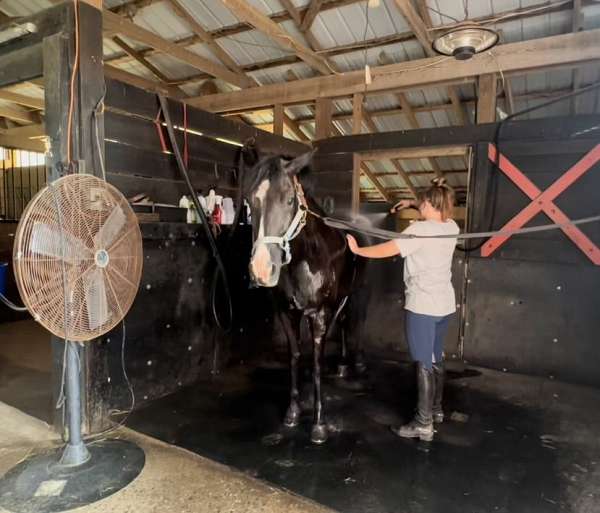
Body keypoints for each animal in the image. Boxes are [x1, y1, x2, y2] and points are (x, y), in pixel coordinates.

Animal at [244, 150, 366, 442]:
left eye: (289, 200)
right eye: (250, 201)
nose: (261, 270)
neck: (307, 257)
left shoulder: (319, 314)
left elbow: (319, 361)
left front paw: (318, 424)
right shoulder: (288, 313)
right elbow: (296, 356)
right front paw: (293, 412)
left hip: (354, 294)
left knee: (350, 323)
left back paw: (352, 363)